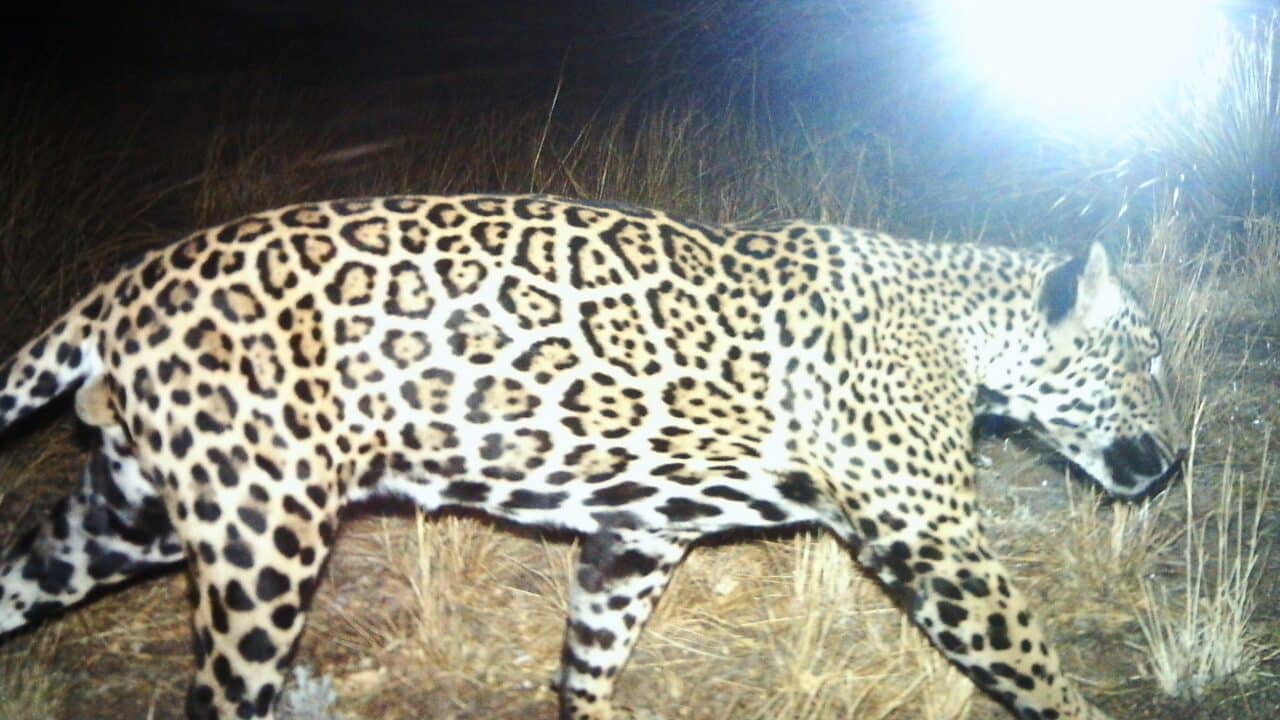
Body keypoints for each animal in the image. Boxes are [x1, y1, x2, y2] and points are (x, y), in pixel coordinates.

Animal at [0, 194, 1184, 719]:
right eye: (1145, 358)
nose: (1175, 463)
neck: (965, 331)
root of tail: (124, 285)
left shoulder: (637, 534)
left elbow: (589, 654)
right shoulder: (934, 541)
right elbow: (1031, 663)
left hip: (129, 518)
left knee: (22, 575)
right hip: (260, 538)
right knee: (218, 695)